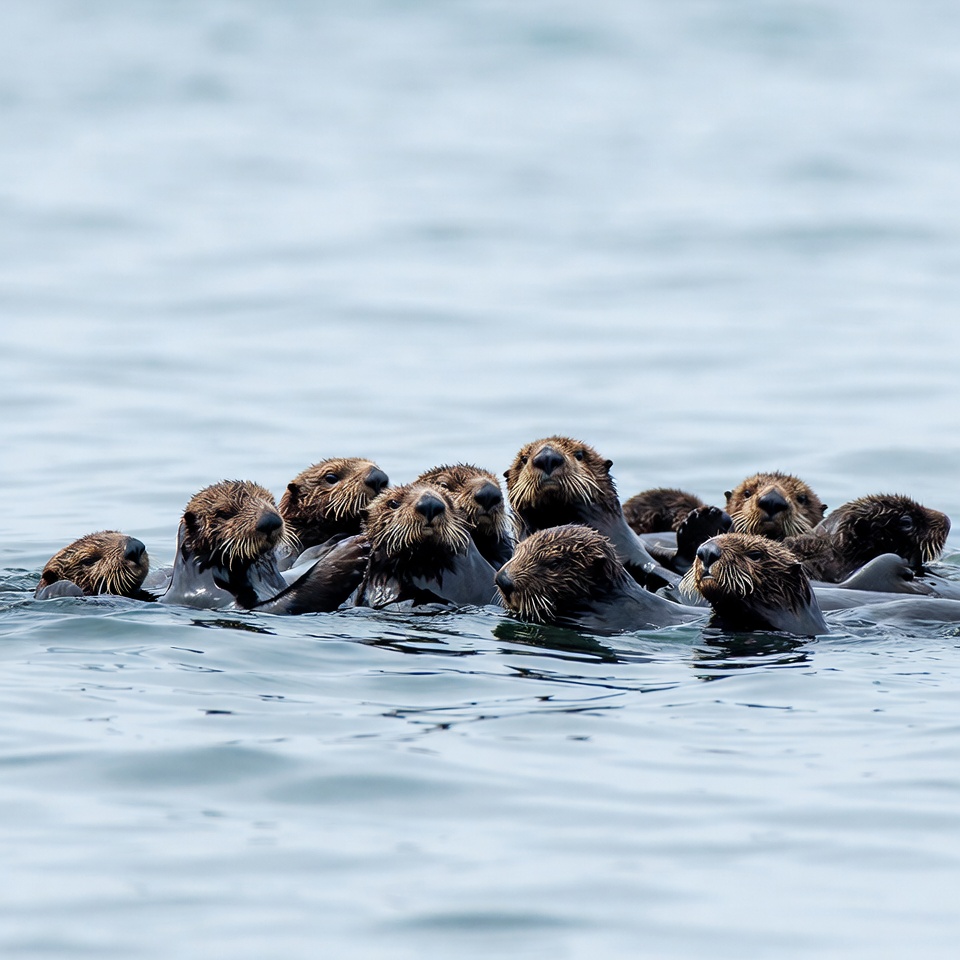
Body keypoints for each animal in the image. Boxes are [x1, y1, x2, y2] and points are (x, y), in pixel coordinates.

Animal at [159, 480, 367, 613]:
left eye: (271, 502)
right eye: (224, 513)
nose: (270, 520)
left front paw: (337, 541)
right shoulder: (210, 600)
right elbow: (288, 603)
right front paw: (347, 554)